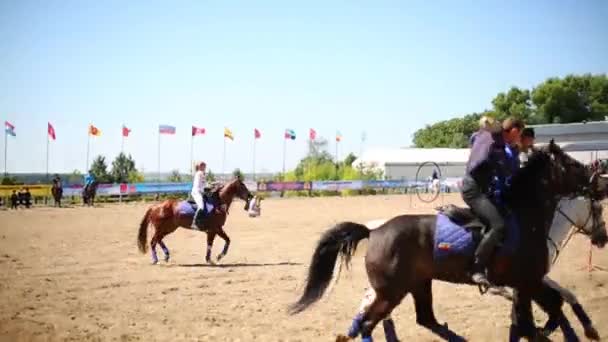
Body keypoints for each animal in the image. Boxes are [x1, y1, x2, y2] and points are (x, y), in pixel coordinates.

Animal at [354, 198, 604, 342]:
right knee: (371, 319)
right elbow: (548, 304)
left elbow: (555, 300)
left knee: (425, 319)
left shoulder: (531, 281)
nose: (603, 238)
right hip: (393, 290)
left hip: (418, 284)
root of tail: (374, 231)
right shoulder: (528, 280)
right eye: (598, 209)